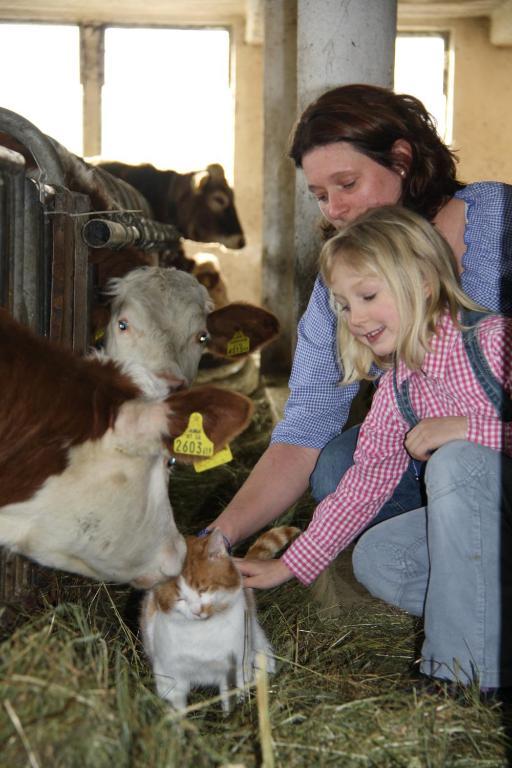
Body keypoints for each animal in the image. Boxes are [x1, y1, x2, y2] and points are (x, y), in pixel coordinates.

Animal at [140, 524, 300, 712]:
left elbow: (233, 697)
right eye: (180, 599)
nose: (197, 610)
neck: (202, 631)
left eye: (203, 589)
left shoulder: (236, 667)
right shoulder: (169, 675)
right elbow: (176, 707)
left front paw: (235, 713)